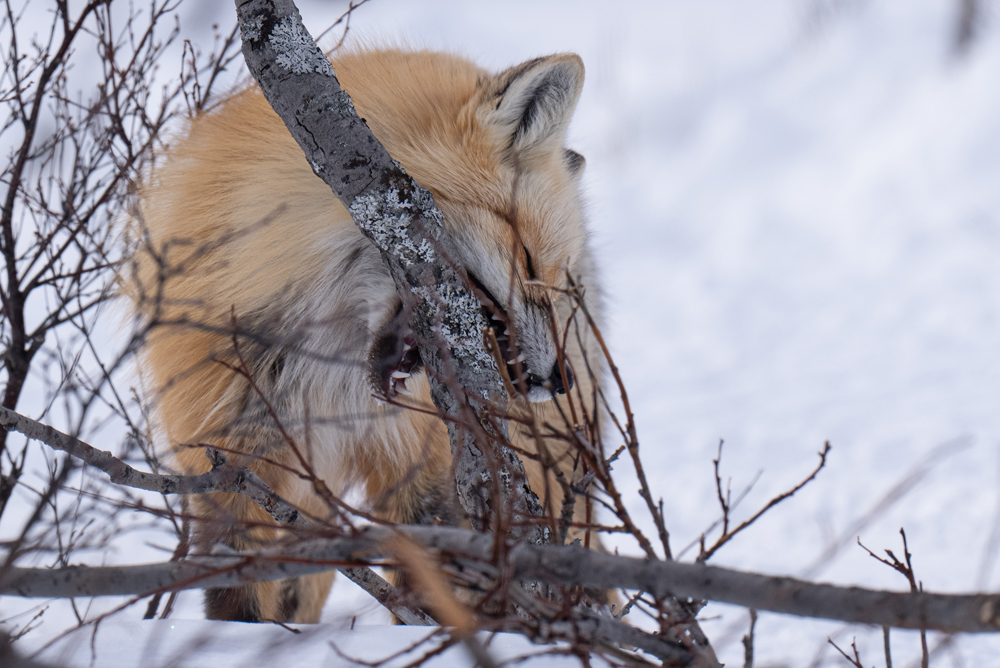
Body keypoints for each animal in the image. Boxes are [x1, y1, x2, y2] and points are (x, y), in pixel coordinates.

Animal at [129, 47, 606, 624]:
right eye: (530, 263)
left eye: (559, 285)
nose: (563, 380)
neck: (329, 375)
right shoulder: (227, 457)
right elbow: (238, 596)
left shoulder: (422, 466)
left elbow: (434, 574)